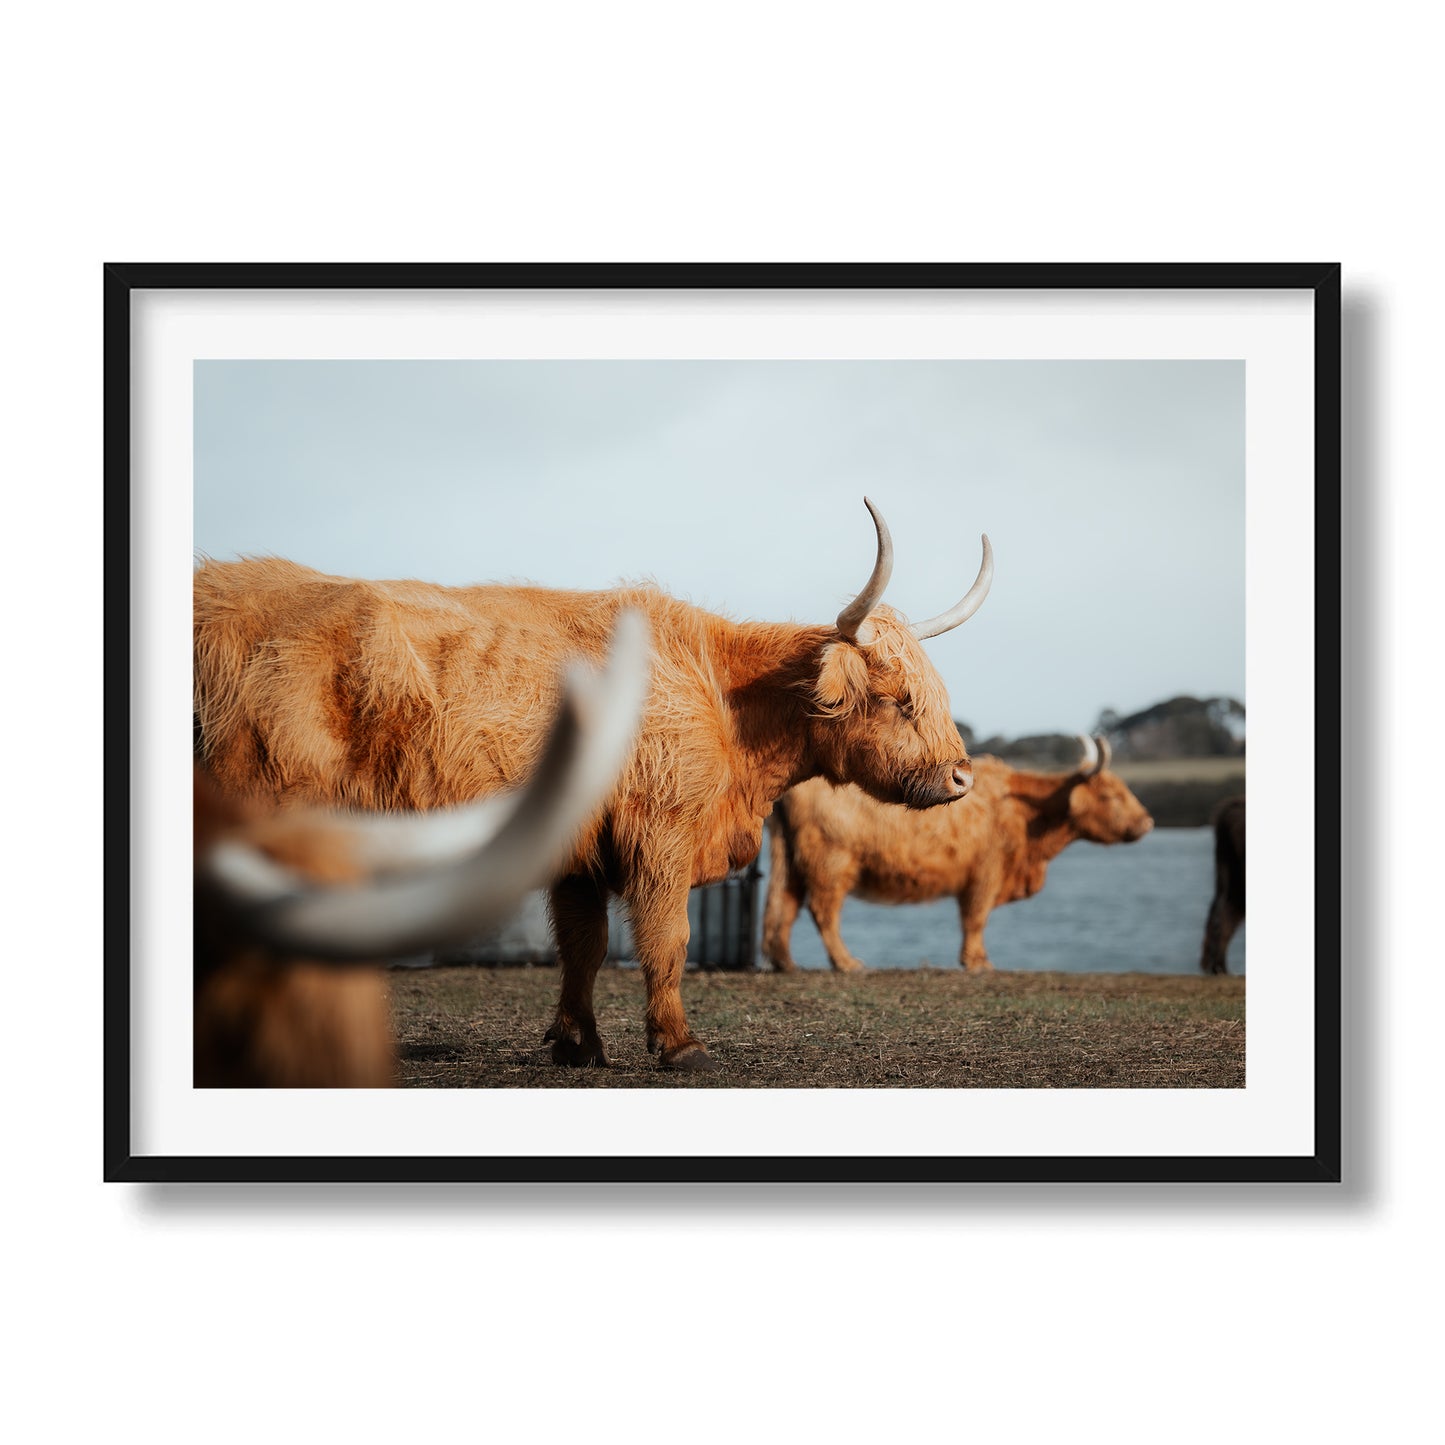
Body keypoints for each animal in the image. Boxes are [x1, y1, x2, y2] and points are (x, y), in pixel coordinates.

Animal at [762, 734, 1153, 973]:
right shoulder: (985, 874)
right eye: (1111, 795)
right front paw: (977, 962)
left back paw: (786, 962)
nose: (1148, 822)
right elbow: (975, 919)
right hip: (832, 861)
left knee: (785, 905)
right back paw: (847, 963)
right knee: (823, 910)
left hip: (794, 861)